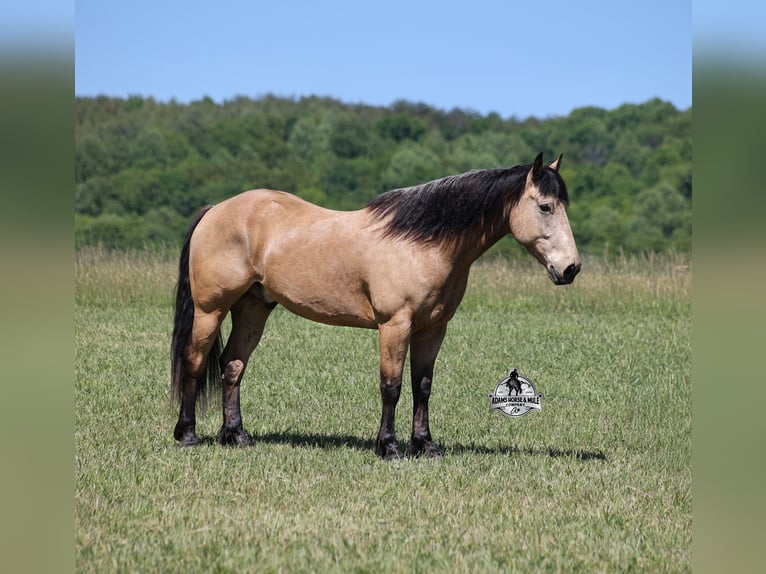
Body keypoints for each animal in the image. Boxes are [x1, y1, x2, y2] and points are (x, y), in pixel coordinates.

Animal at [170, 152, 580, 459]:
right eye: (546, 206)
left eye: (564, 205)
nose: (570, 268)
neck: (421, 244)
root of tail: (215, 210)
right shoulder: (394, 325)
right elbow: (392, 386)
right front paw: (389, 447)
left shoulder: (433, 329)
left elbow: (422, 386)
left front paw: (425, 446)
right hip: (211, 309)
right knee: (195, 361)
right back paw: (187, 434)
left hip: (253, 309)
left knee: (232, 366)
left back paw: (236, 435)